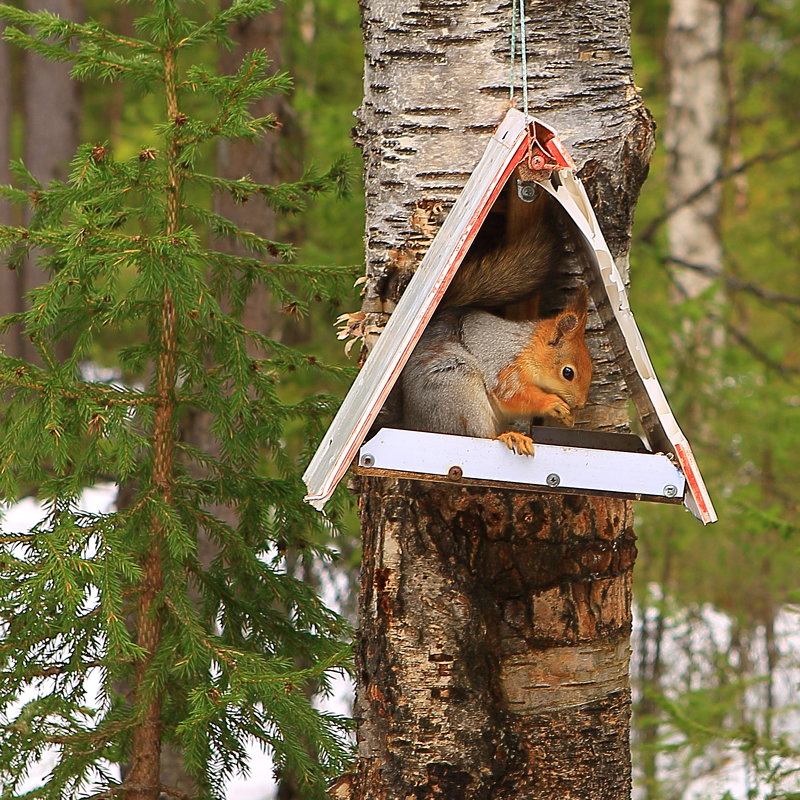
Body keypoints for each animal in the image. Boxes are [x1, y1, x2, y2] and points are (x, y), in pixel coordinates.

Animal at [404, 172, 592, 454]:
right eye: (567, 372)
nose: (580, 404)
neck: (527, 348)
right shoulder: (504, 365)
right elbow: (513, 394)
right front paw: (552, 404)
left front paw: (567, 417)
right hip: (458, 392)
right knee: (479, 436)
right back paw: (509, 437)